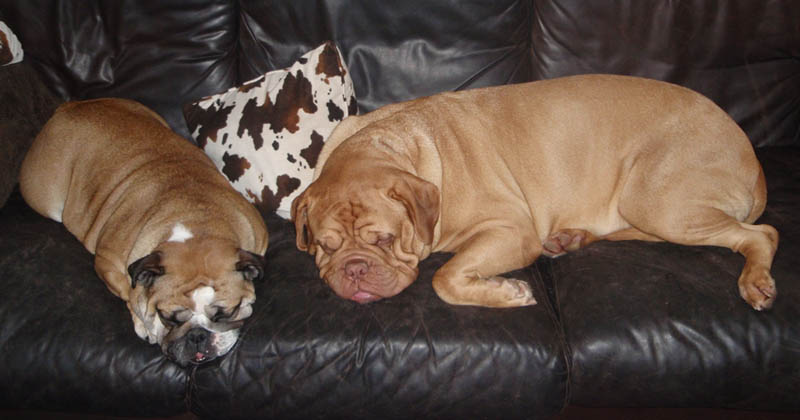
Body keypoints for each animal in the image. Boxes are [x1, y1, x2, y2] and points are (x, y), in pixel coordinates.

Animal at [18, 97, 268, 364]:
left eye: (227, 313)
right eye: (168, 317)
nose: (198, 335)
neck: (198, 222)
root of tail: (67, 107)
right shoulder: (107, 261)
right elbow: (130, 292)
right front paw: (144, 323)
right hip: (48, 199)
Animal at [290, 74, 780, 312]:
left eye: (386, 240)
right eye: (325, 247)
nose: (355, 270)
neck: (391, 146)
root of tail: (753, 162)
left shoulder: (510, 231)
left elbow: (444, 276)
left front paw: (506, 293)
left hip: (657, 199)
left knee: (760, 234)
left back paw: (755, 282)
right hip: (650, 206)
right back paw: (571, 238)